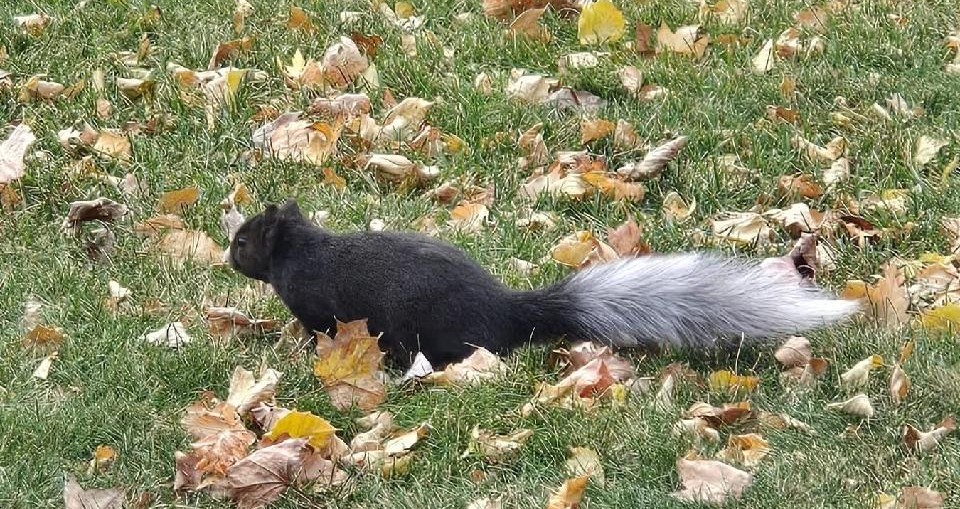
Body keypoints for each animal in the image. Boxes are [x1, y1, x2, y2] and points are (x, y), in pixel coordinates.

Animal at [228, 200, 859, 368]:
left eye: (242, 243)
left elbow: (318, 325)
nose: (229, 258)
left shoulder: (313, 297)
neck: (304, 248)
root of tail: (507, 309)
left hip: (433, 328)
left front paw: (306, 348)